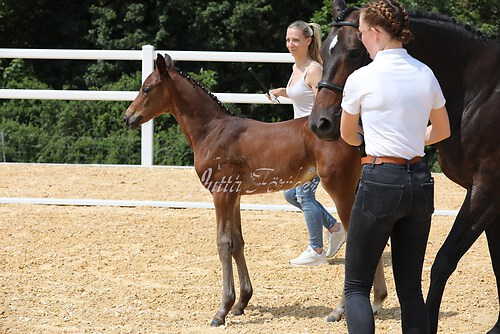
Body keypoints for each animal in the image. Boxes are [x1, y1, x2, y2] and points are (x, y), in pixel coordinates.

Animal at [124, 54, 386, 326]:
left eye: (147, 88)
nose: (127, 117)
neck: (212, 131)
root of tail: (355, 132)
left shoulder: (221, 193)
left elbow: (224, 243)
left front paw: (222, 310)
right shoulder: (235, 196)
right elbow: (238, 242)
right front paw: (241, 302)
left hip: (340, 188)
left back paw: (339, 310)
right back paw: (376, 301)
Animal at [308, 1, 500, 332]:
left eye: (355, 52)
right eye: (323, 50)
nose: (321, 123)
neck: (480, 90)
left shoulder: (486, 191)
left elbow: (444, 261)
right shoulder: (492, 198)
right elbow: (499, 264)